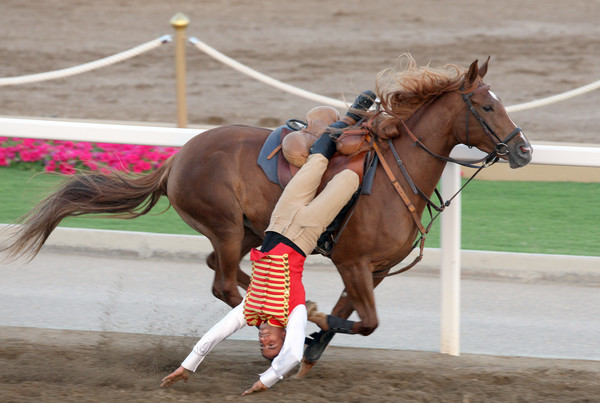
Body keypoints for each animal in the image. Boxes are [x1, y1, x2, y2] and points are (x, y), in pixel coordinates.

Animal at [2, 55, 532, 374]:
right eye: (487, 106)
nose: (524, 150)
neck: (393, 169)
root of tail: (179, 157)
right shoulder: (354, 262)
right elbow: (363, 321)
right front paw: (308, 324)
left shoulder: (373, 269)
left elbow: (350, 316)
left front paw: (311, 343)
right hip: (224, 224)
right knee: (222, 283)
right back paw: (266, 320)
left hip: (245, 231)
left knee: (221, 270)